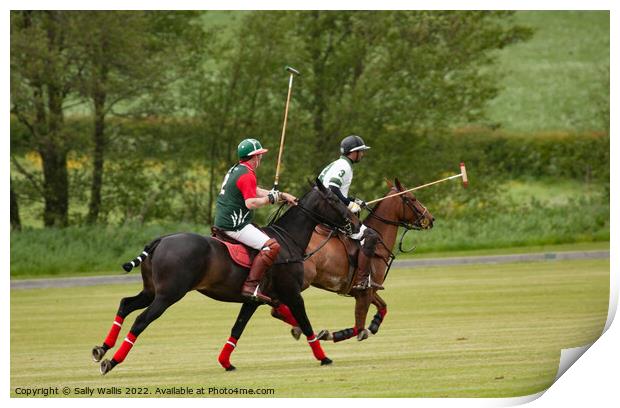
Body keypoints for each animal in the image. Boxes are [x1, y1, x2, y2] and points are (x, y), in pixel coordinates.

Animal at [89, 180, 356, 374]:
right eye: (334, 199)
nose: (352, 224)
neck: (289, 240)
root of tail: (161, 240)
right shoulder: (292, 293)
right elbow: (305, 322)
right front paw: (324, 356)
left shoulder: (254, 300)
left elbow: (238, 328)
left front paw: (225, 362)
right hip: (168, 295)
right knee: (141, 320)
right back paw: (112, 361)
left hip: (152, 290)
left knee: (126, 304)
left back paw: (102, 349)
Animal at [220, 178, 434, 370]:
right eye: (412, 198)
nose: (430, 219)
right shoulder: (364, 291)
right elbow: (358, 326)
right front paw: (333, 335)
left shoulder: (366, 290)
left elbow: (383, 307)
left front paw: (374, 325)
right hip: (298, 283)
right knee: (277, 307)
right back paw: (304, 329)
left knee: (275, 306)